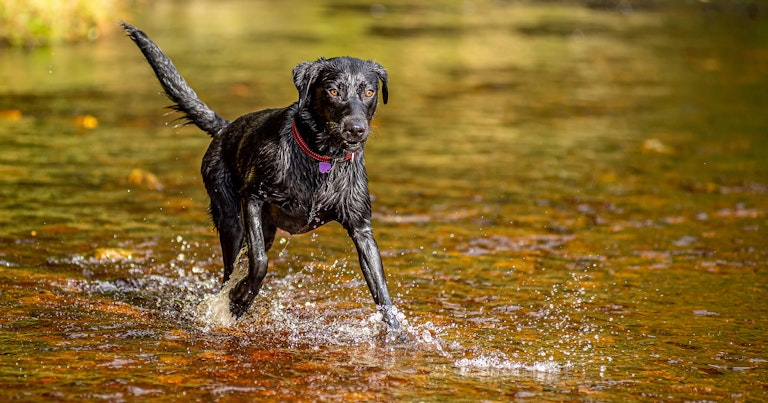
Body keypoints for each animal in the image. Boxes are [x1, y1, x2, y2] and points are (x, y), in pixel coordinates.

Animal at [123, 22, 400, 330]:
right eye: (332, 91)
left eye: (369, 92)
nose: (356, 129)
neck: (322, 159)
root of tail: (225, 128)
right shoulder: (253, 197)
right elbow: (259, 261)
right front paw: (241, 297)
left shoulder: (361, 228)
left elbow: (382, 291)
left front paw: (396, 334)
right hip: (231, 218)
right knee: (229, 270)